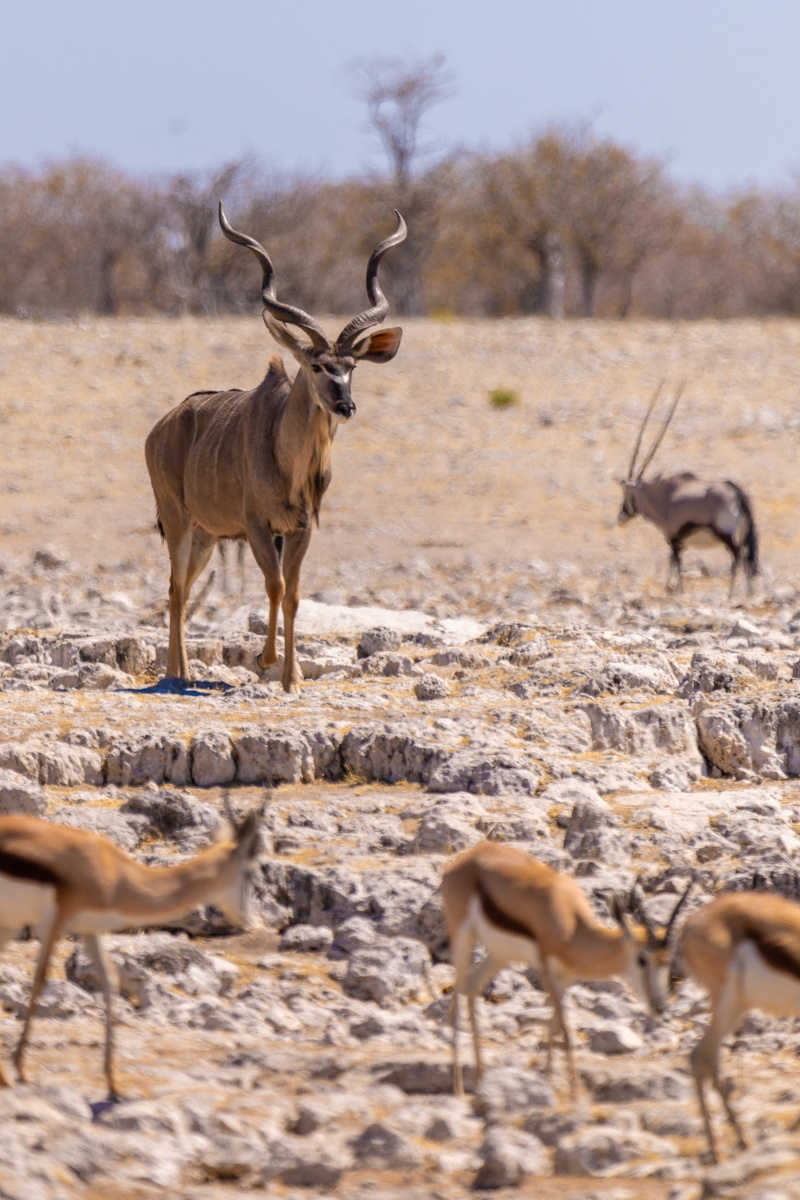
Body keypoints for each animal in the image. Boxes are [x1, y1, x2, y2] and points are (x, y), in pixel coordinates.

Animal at [0, 807, 262, 1100]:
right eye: (250, 872)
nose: (248, 920)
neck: (113, 873)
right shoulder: (53, 924)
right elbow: (40, 980)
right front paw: (20, 1069)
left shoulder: (89, 929)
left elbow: (109, 982)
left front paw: (113, 1084)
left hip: (8, 926)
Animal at [145, 205, 406, 692]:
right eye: (317, 365)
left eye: (352, 366)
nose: (346, 406)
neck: (289, 461)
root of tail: (162, 427)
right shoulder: (258, 526)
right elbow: (275, 586)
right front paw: (265, 660)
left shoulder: (300, 529)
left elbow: (295, 594)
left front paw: (293, 678)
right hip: (177, 519)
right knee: (174, 588)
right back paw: (176, 674)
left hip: (206, 533)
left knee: (183, 589)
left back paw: (182, 672)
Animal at [440, 840, 693, 1099]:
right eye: (641, 959)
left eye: (667, 960)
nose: (660, 1006)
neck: (572, 928)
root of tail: (470, 855)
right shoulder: (547, 971)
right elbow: (567, 1030)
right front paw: (574, 1096)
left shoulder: (566, 977)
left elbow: (554, 1026)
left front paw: (550, 1081)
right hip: (463, 938)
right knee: (456, 1000)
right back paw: (459, 1087)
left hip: (500, 955)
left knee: (471, 986)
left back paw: (481, 1077)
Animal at [617, 382, 759, 597]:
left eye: (627, 494)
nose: (621, 516)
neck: (663, 496)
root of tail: (737, 494)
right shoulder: (679, 541)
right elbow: (674, 562)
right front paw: (672, 588)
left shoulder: (673, 538)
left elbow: (675, 562)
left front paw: (676, 589)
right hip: (741, 534)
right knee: (747, 559)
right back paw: (748, 593)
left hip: (726, 534)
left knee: (737, 556)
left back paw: (730, 593)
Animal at [679, 888, 800, 1163]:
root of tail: (692, 922)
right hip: (727, 1001)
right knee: (701, 1057)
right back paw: (723, 1152)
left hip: (736, 1006)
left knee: (707, 1060)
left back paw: (738, 1145)